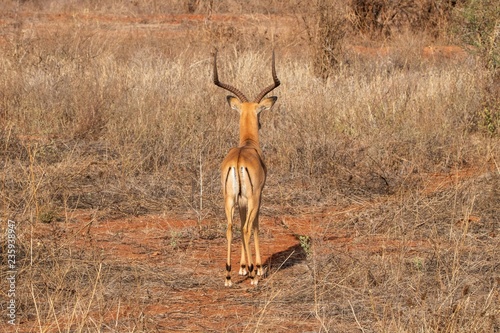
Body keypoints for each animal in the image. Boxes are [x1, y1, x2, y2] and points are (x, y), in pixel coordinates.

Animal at [213, 51, 280, 286]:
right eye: (259, 113)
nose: (260, 124)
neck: (248, 144)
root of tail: (238, 160)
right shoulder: (257, 196)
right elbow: (256, 227)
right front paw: (256, 268)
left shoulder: (240, 201)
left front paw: (242, 267)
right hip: (250, 199)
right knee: (247, 228)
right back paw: (254, 276)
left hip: (228, 199)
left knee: (230, 228)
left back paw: (227, 275)